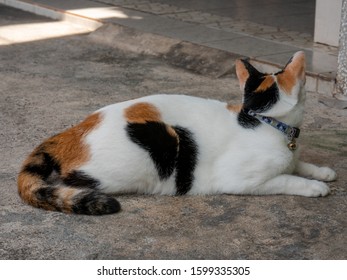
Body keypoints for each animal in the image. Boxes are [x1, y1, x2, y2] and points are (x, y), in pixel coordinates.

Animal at [18, 52, 338, 214]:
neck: (263, 121)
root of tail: (71, 132)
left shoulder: (292, 154)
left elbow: (299, 164)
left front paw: (322, 172)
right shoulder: (241, 179)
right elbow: (287, 178)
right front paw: (314, 187)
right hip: (159, 145)